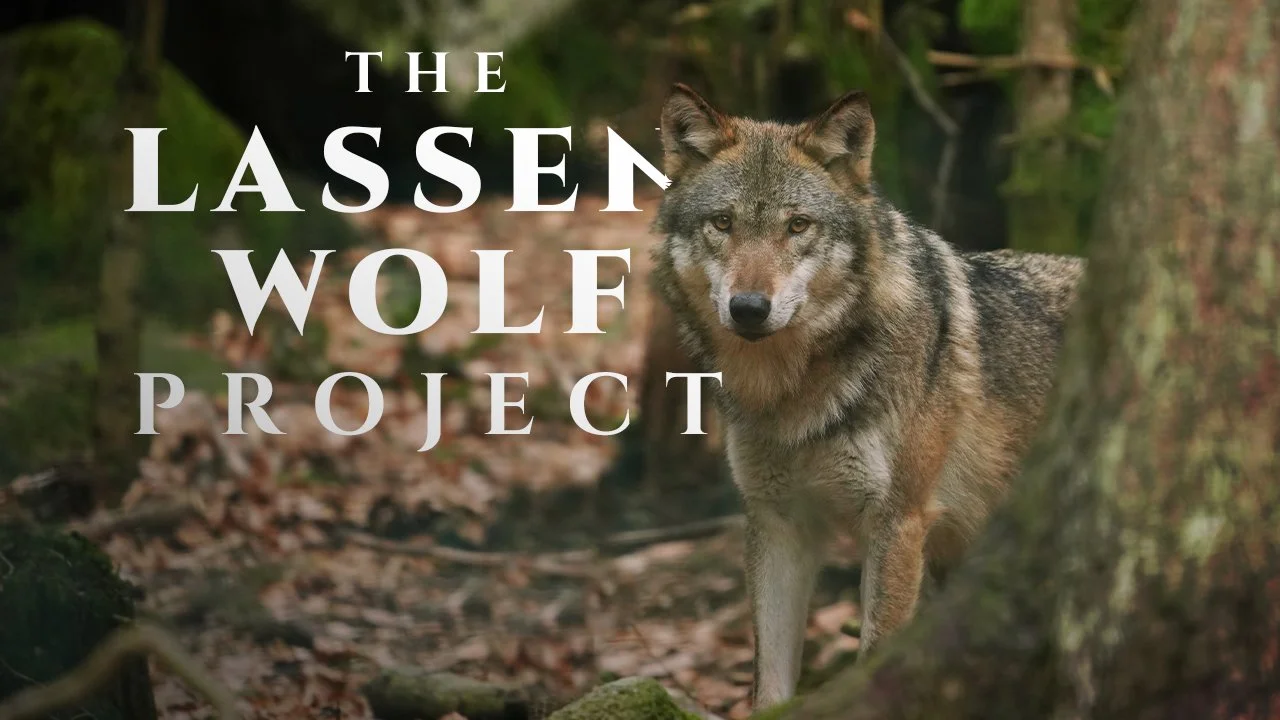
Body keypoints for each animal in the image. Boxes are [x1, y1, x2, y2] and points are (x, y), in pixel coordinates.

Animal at [651, 84, 1084, 709]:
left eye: (798, 226)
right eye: (722, 223)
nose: (749, 308)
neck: (793, 396)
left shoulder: (897, 524)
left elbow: (876, 658)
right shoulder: (778, 523)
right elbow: (769, 684)